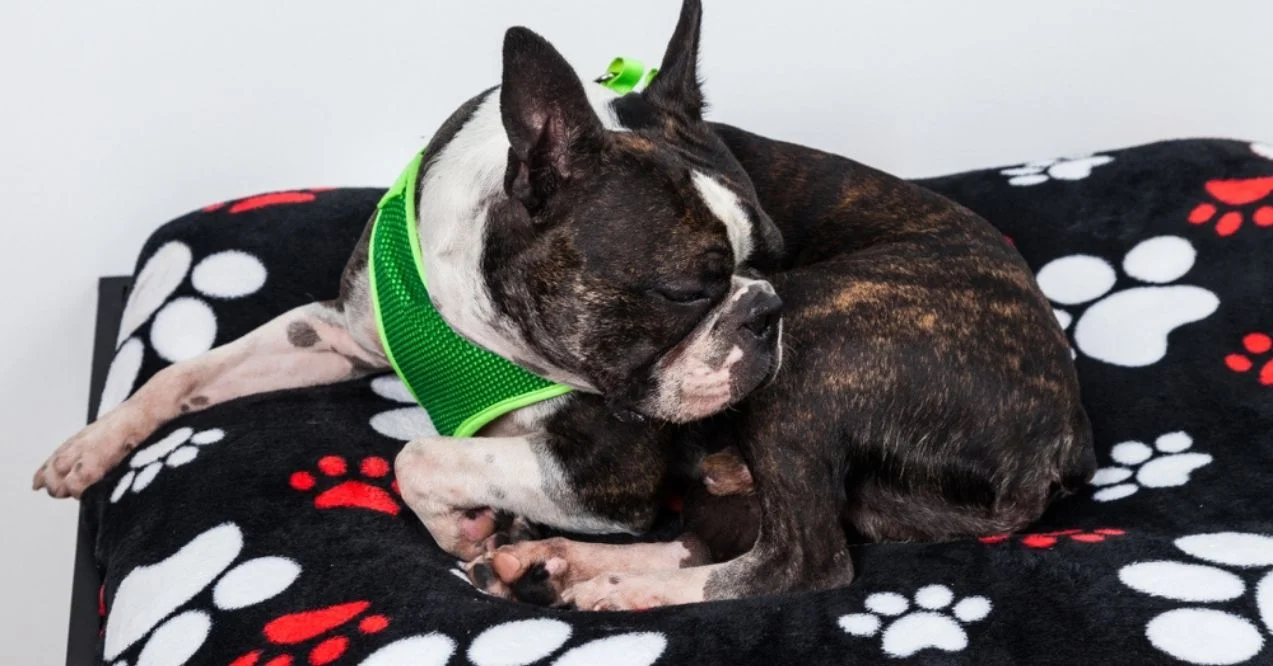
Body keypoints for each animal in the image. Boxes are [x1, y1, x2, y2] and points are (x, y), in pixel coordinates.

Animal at [39, 0, 1094, 613]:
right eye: (687, 286)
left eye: (772, 260)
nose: (764, 312)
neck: (474, 307)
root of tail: (1061, 440)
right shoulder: (337, 336)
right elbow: (188, 370)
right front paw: (87, 448)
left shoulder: (608, 469)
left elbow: (418, 455)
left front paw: (460, 527)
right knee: (733, 530)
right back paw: (567, 565)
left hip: (818, 365)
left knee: (802, 560)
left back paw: (609, 585)